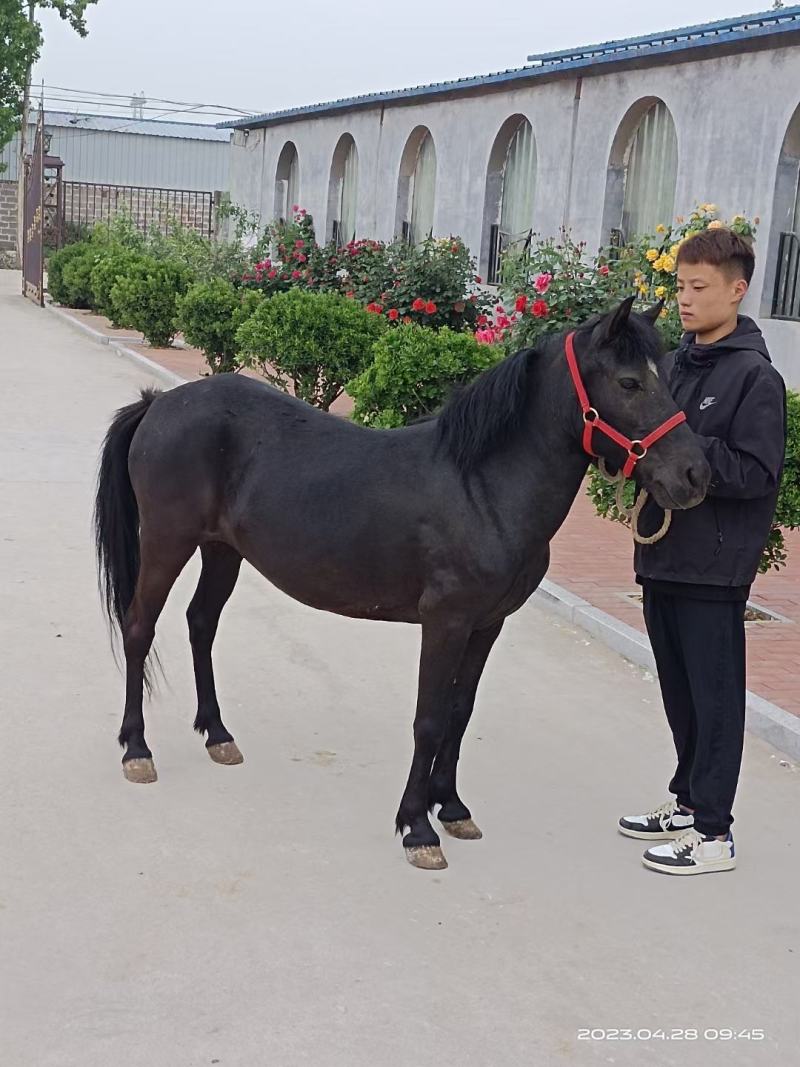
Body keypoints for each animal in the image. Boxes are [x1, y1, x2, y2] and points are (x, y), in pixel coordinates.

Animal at [94, 295, 710, 870]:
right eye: (630, 382)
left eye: (666, 374)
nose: (695, 474)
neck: (482, 487)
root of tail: (159, 403)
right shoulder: (445, 622)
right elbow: (429, 720)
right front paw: (418, 828)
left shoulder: (486, 625)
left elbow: (460, 714)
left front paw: (452, 808)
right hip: (167, 543)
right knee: (140, 626)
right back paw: (136, 750)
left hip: (222, 550)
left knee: (201, 624)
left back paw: (218, 735)